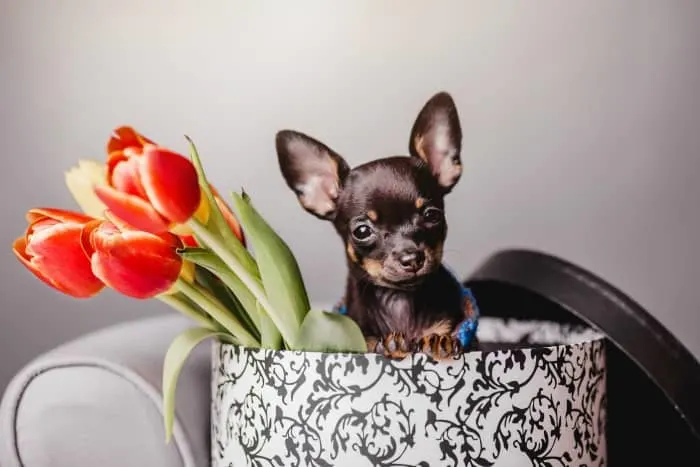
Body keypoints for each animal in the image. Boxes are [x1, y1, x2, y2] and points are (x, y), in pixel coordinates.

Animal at [274, 92, 476, 362]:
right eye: (362, 231)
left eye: (432, 215)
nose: (412, 258)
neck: (399, 301)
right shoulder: (359, 338)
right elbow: (371, 342)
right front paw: (389, 345)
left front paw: (438, 342)